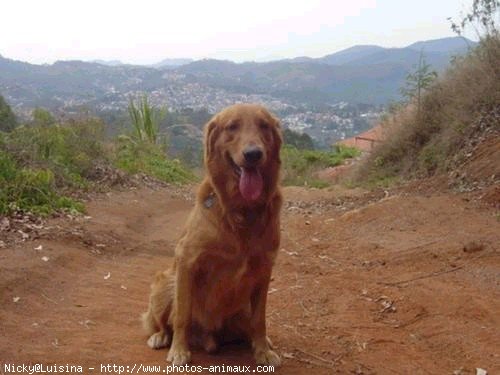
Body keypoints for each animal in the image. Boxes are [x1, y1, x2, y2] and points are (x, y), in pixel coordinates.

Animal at [142, 103, 282, 368]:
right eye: (232, 126)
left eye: (264, 126)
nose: (253, 154)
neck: (241, 212)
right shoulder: (187, 261)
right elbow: (182, 315)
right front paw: (179, 350)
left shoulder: (264, 268)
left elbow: (260, 319)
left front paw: (262, 350)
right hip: (165, 282)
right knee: (161, 322)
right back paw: (161, 337)